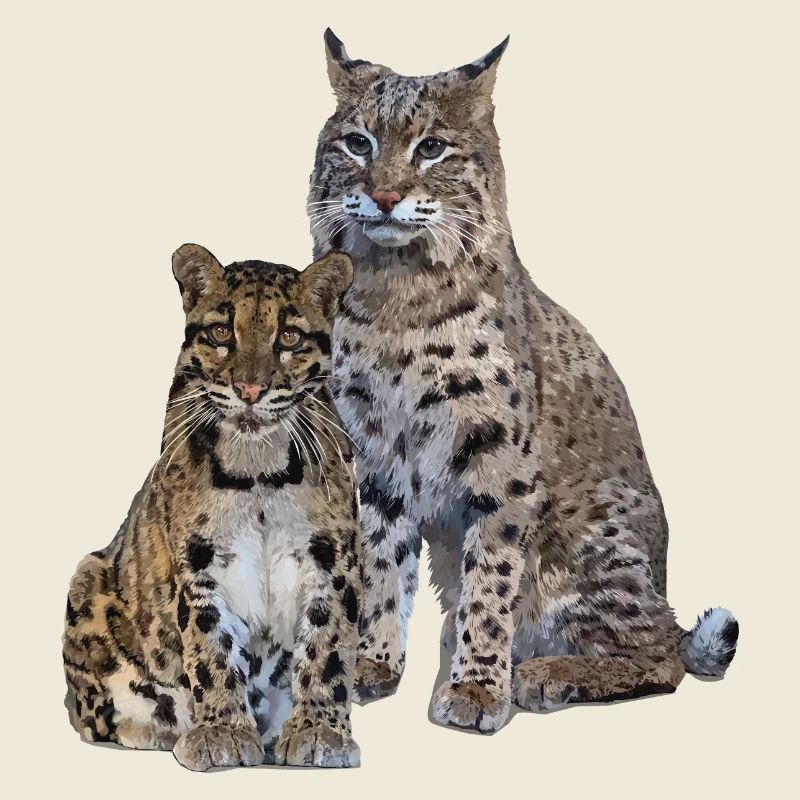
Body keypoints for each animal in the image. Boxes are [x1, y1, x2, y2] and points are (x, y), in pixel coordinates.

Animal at [63, 243, 363, 768]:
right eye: (223, 332)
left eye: (288, 336)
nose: (250, 390)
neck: (259, 471)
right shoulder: (199, 563)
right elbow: (211, 648)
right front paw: (221, 731)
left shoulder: (331, 560)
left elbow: (328, 648)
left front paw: (319, 731)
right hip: (87, 578)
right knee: (97, 714)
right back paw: (159, 729)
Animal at [306, 30, 739, 733]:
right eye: (358, 143)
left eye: (432, 148)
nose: (387, 197)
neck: (396, 291)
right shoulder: (376, 455)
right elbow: (380, 561)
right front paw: (371, 662)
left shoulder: (499, 459)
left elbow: (493, 576)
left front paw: (478, 690)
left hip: (588, 538)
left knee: (664, 653)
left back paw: (546, 673)